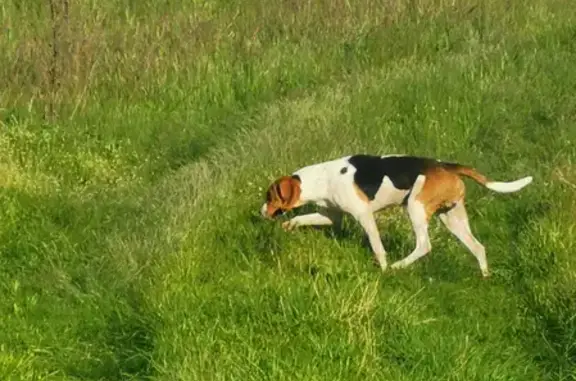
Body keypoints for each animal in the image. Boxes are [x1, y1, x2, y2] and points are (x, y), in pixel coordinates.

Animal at [258, 154, 532, 276]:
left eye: (269, 197)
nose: (261, 212)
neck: (322, 178)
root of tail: (444, 165)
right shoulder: (331, 216)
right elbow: (302, 219)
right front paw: (290, 225)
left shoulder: (364, 216)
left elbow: (378, 248)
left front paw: (383, 268)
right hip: (452, 218)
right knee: (478, 247)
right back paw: (485, 276)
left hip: (415, 207)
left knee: (424, 245)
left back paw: (399, 265)